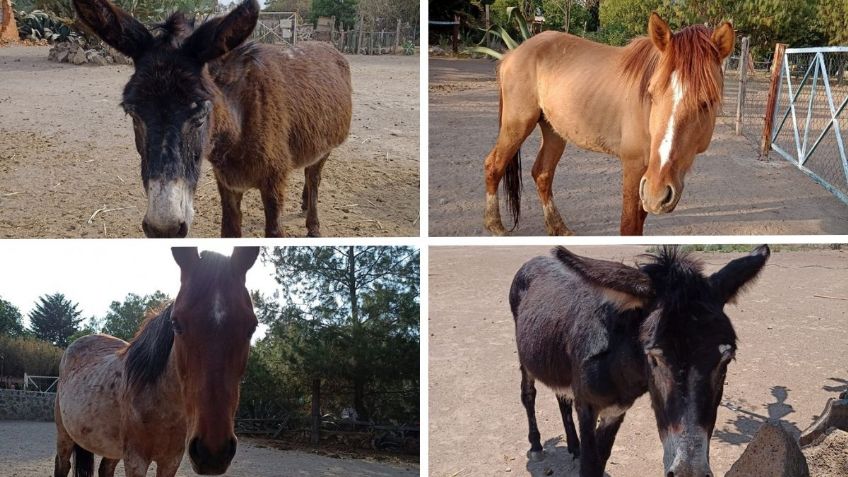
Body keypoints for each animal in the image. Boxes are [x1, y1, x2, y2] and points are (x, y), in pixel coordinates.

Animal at [53, 245, 258, 476]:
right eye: (176, 323)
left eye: (252, 327)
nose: (212, 453)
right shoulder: (136, 460)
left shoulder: (171, 460)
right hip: (64, 436)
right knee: (62, 465)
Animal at [71, 0, 352, 237]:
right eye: (132, 113)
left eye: (201, 115)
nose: (164, 228)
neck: (238, 130)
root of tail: (327, 46)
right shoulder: (226, 182)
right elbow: (229, 231)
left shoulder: (274, 182)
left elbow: (274, 232)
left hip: (326, 146)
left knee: (314, 178)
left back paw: (313, 225)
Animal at [484, 13, 736, 237]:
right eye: (652, 93)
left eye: (707, 102)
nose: (658, 193)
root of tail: (513, 53)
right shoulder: (635, 167)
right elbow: (629, 225)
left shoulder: (647, 178)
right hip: (517, 125)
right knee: (494, 165)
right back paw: (495, 225)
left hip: (553, 130)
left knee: (542, 174)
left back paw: (558, 228)